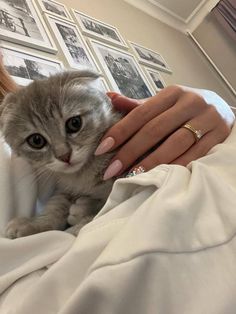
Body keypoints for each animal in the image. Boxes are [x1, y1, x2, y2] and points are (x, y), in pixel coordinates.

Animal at [0, 70, 121, 237]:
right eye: (36, 140)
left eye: (74, 123)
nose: (64, 156)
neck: (81, 176)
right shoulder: (63, 190)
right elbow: (55, 206)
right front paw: (34, 225)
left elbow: (111, 201)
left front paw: (83, 217)